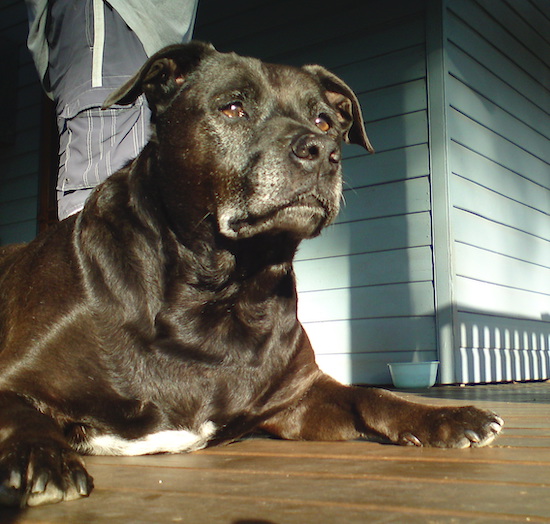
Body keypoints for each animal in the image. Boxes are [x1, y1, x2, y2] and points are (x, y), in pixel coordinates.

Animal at [0, 44, 504, 508]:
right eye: (233, 108)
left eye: (325, 121)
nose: (322, 151)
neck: (222, 293)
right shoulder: (14, 378)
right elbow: (23, 417)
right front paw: (43, 458)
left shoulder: (298, 397)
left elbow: (372, 396)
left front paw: (445, 417)